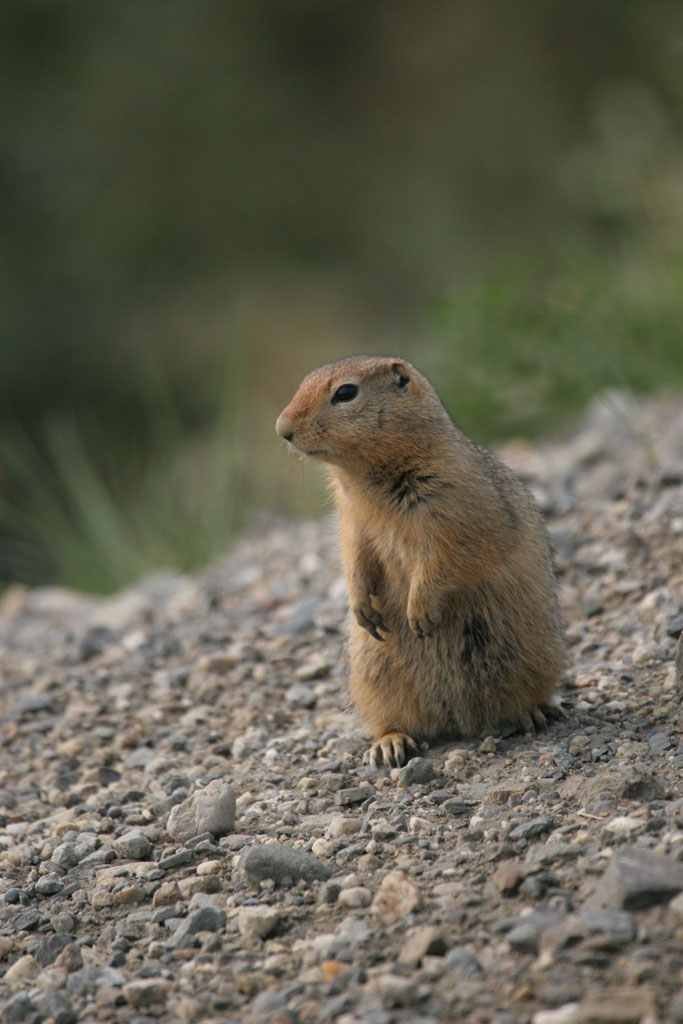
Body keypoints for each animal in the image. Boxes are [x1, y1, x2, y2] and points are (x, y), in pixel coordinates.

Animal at [274, 356, 565, 765]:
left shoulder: (454, 509)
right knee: (393, 720)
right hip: (374, 676)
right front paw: (361, 607)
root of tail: (461, 721)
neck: (366, 478)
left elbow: (445, 559)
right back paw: (390, 744)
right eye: (302, 383)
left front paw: (420, 613)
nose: (281, 429)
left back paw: (531, 712)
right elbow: (354, 557)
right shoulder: (351, 521)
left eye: (346, 392)